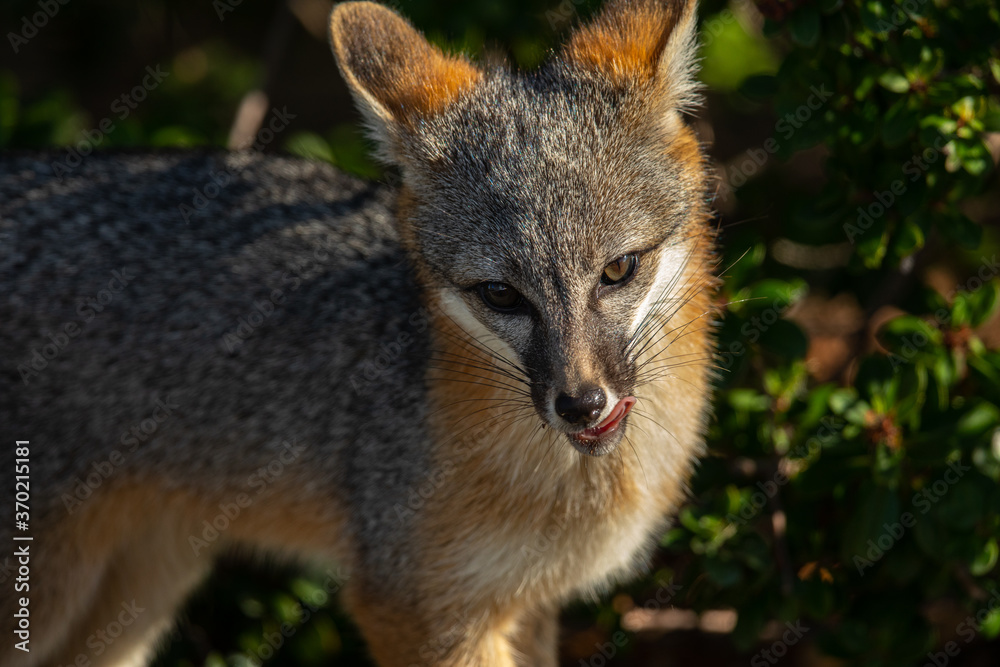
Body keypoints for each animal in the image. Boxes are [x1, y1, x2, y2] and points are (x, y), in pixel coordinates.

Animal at [0, 0, 720, 664]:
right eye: (501, 294)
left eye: (619, 268)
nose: (580, 403)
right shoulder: (417, 606)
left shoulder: (526, 604)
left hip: (136, 595)